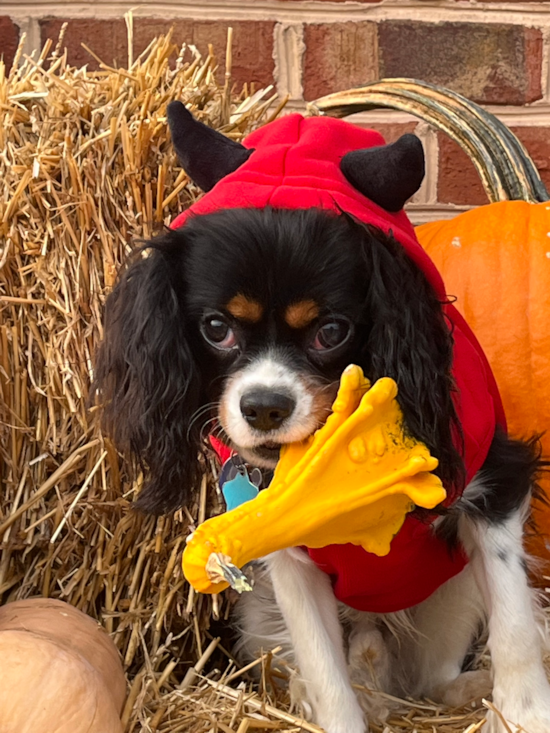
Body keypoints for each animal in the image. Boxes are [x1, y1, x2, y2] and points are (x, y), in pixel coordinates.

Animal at [94, 107, 550, 732]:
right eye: (216, 328)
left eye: (330, 332)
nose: (264, 406)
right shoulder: (288, 562)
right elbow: (326, 672)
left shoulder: (496, 489)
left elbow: (515, 627)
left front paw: (525, 713)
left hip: (451, 596)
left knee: (431, 679)